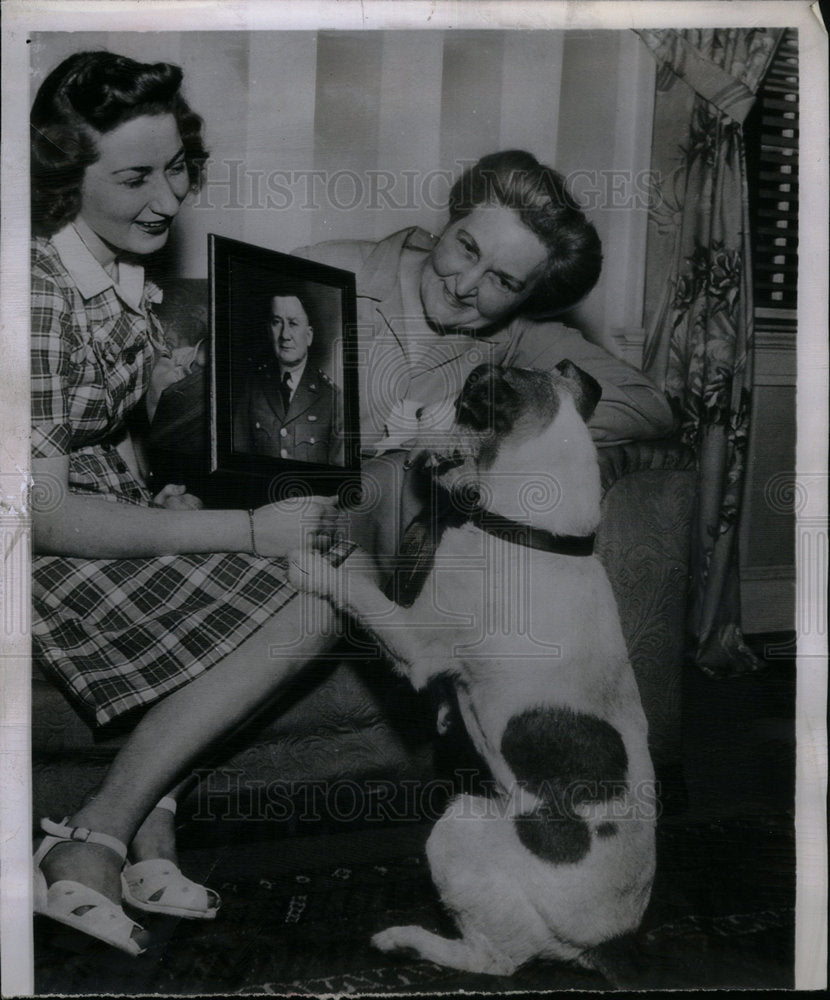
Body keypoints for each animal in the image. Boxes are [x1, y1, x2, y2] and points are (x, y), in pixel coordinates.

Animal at [290, 362, 656, 976]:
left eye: (462, 402)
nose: (412, 412)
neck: (531, 534)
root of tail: (603, 942)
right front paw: (443, 713)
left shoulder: (414, 638)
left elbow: (359, 591)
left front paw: (312, 566)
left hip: (457, 826)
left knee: (494, 960)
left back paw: (409, 940)